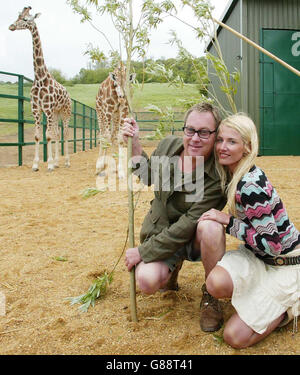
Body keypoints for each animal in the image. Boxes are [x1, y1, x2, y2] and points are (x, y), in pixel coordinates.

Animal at [9, 6, 71, 172]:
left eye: (25, 19)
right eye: (18, 16)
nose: (11, 26)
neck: (39, 77)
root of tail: (68, 94)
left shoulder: (47, 109)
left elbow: (48, 136)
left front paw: (48, 164)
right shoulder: (37, 109)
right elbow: (39, 136)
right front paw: (36, 165)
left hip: (65, 112)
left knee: (66, 133)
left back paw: (66, 162)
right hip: (56, 113)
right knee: (57, 133)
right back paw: (57, 162)